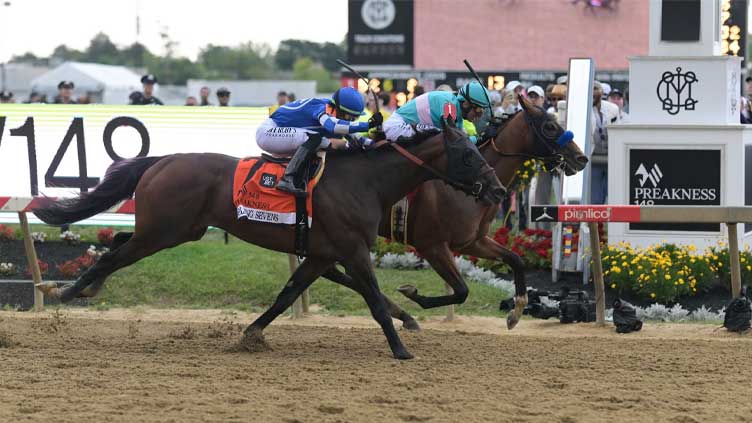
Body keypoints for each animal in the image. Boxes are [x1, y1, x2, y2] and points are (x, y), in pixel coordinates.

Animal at [36, 121, 506, 362]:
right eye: (468, 155)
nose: (499, 190)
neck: (365, 181)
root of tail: (164, 159)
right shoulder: (353, 250)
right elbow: (373, 300)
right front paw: (401, 347)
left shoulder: (321, 254)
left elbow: (286, 295)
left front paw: (250, 334)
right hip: (164, 232)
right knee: (114, 255)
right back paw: (68, 290)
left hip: (172, 229)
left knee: (116, 243)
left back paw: (77, 286)